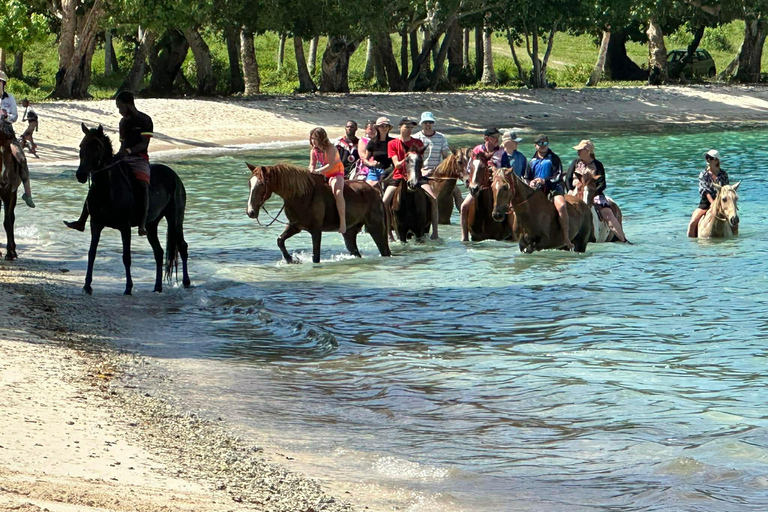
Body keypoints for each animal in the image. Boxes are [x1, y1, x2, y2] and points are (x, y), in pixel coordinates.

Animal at [75, 124, 190, 295]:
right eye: (81, 146)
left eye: (96, 148)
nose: (80, 175)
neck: (107, 190)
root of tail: (175, 176)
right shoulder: (95, 224)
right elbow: (92, 253)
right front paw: (87, 286)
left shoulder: (125, 227)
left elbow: (126, 257)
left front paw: (128, 287)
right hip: (151, 225)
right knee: (159, 252)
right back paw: (157, 287)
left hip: (175, 219)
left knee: (182, 246)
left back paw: (186, 282)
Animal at [246, 163, 391, 263]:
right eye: (250, 184)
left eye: (261, 184)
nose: (250, 212)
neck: (300, 195)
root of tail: (375, 192)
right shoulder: (295, 226)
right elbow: (280, 240)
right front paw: (291, 259)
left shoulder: (316, 231)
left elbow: (316, 257)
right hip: (350, 233)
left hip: (376, 228)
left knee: (385, 250)